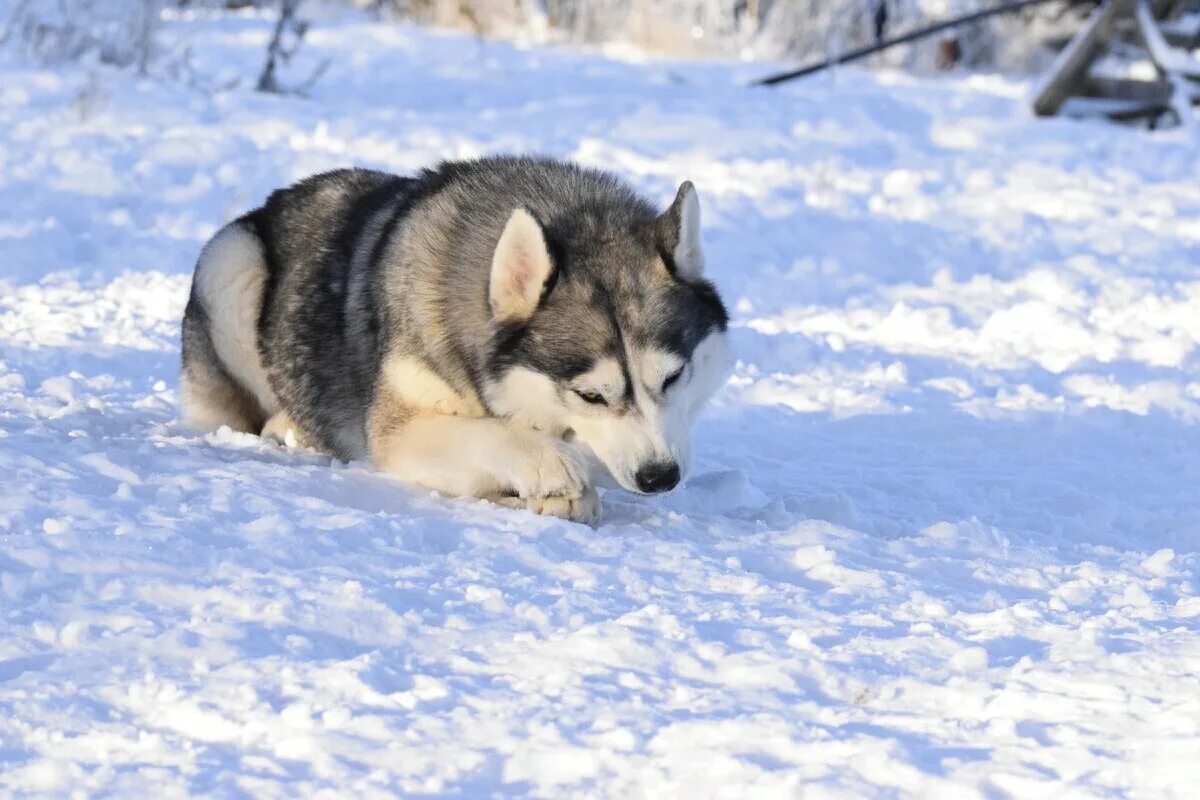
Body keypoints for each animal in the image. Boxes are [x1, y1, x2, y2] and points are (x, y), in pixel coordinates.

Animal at [178, 155, 729, 522]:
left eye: (674, 377)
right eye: (590, 395)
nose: (660, 476)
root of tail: (274, 199)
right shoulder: (399, 431)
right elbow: (492, 436)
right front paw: (547, 462)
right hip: (231, 261)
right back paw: (285, 427)